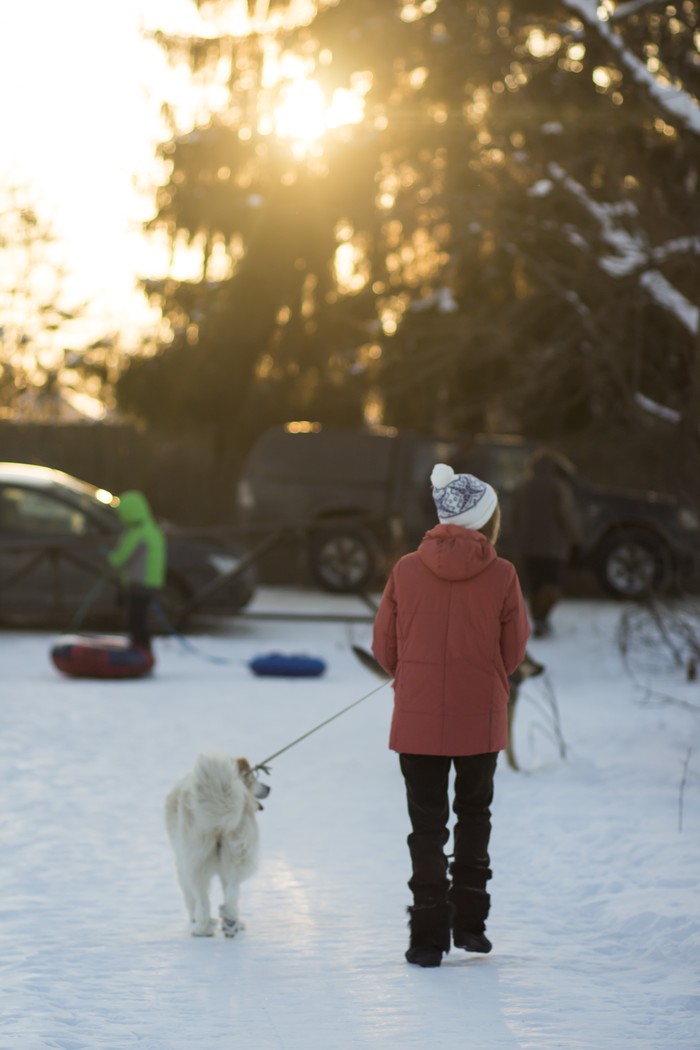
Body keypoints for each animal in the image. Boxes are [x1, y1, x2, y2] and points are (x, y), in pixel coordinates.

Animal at [165, 755, 270, 936]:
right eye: (253, 778)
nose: (268, 788)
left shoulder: (182, 866)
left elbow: (191, 898)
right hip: (236, 853)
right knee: (232, 890)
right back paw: (230, 922)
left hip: (196, 860)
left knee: (202, 898)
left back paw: (202, 929)